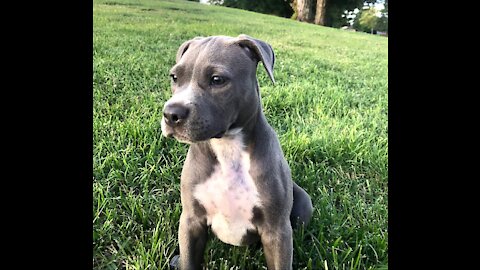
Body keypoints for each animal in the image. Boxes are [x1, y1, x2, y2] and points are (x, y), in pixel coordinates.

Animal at [159, 34, 314, 268]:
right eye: (174, 77)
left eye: (217, 80)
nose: (171, 114)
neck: (228, 148)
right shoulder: (191, 221)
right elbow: (189, 260)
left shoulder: (277, 231)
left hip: (303, 204)